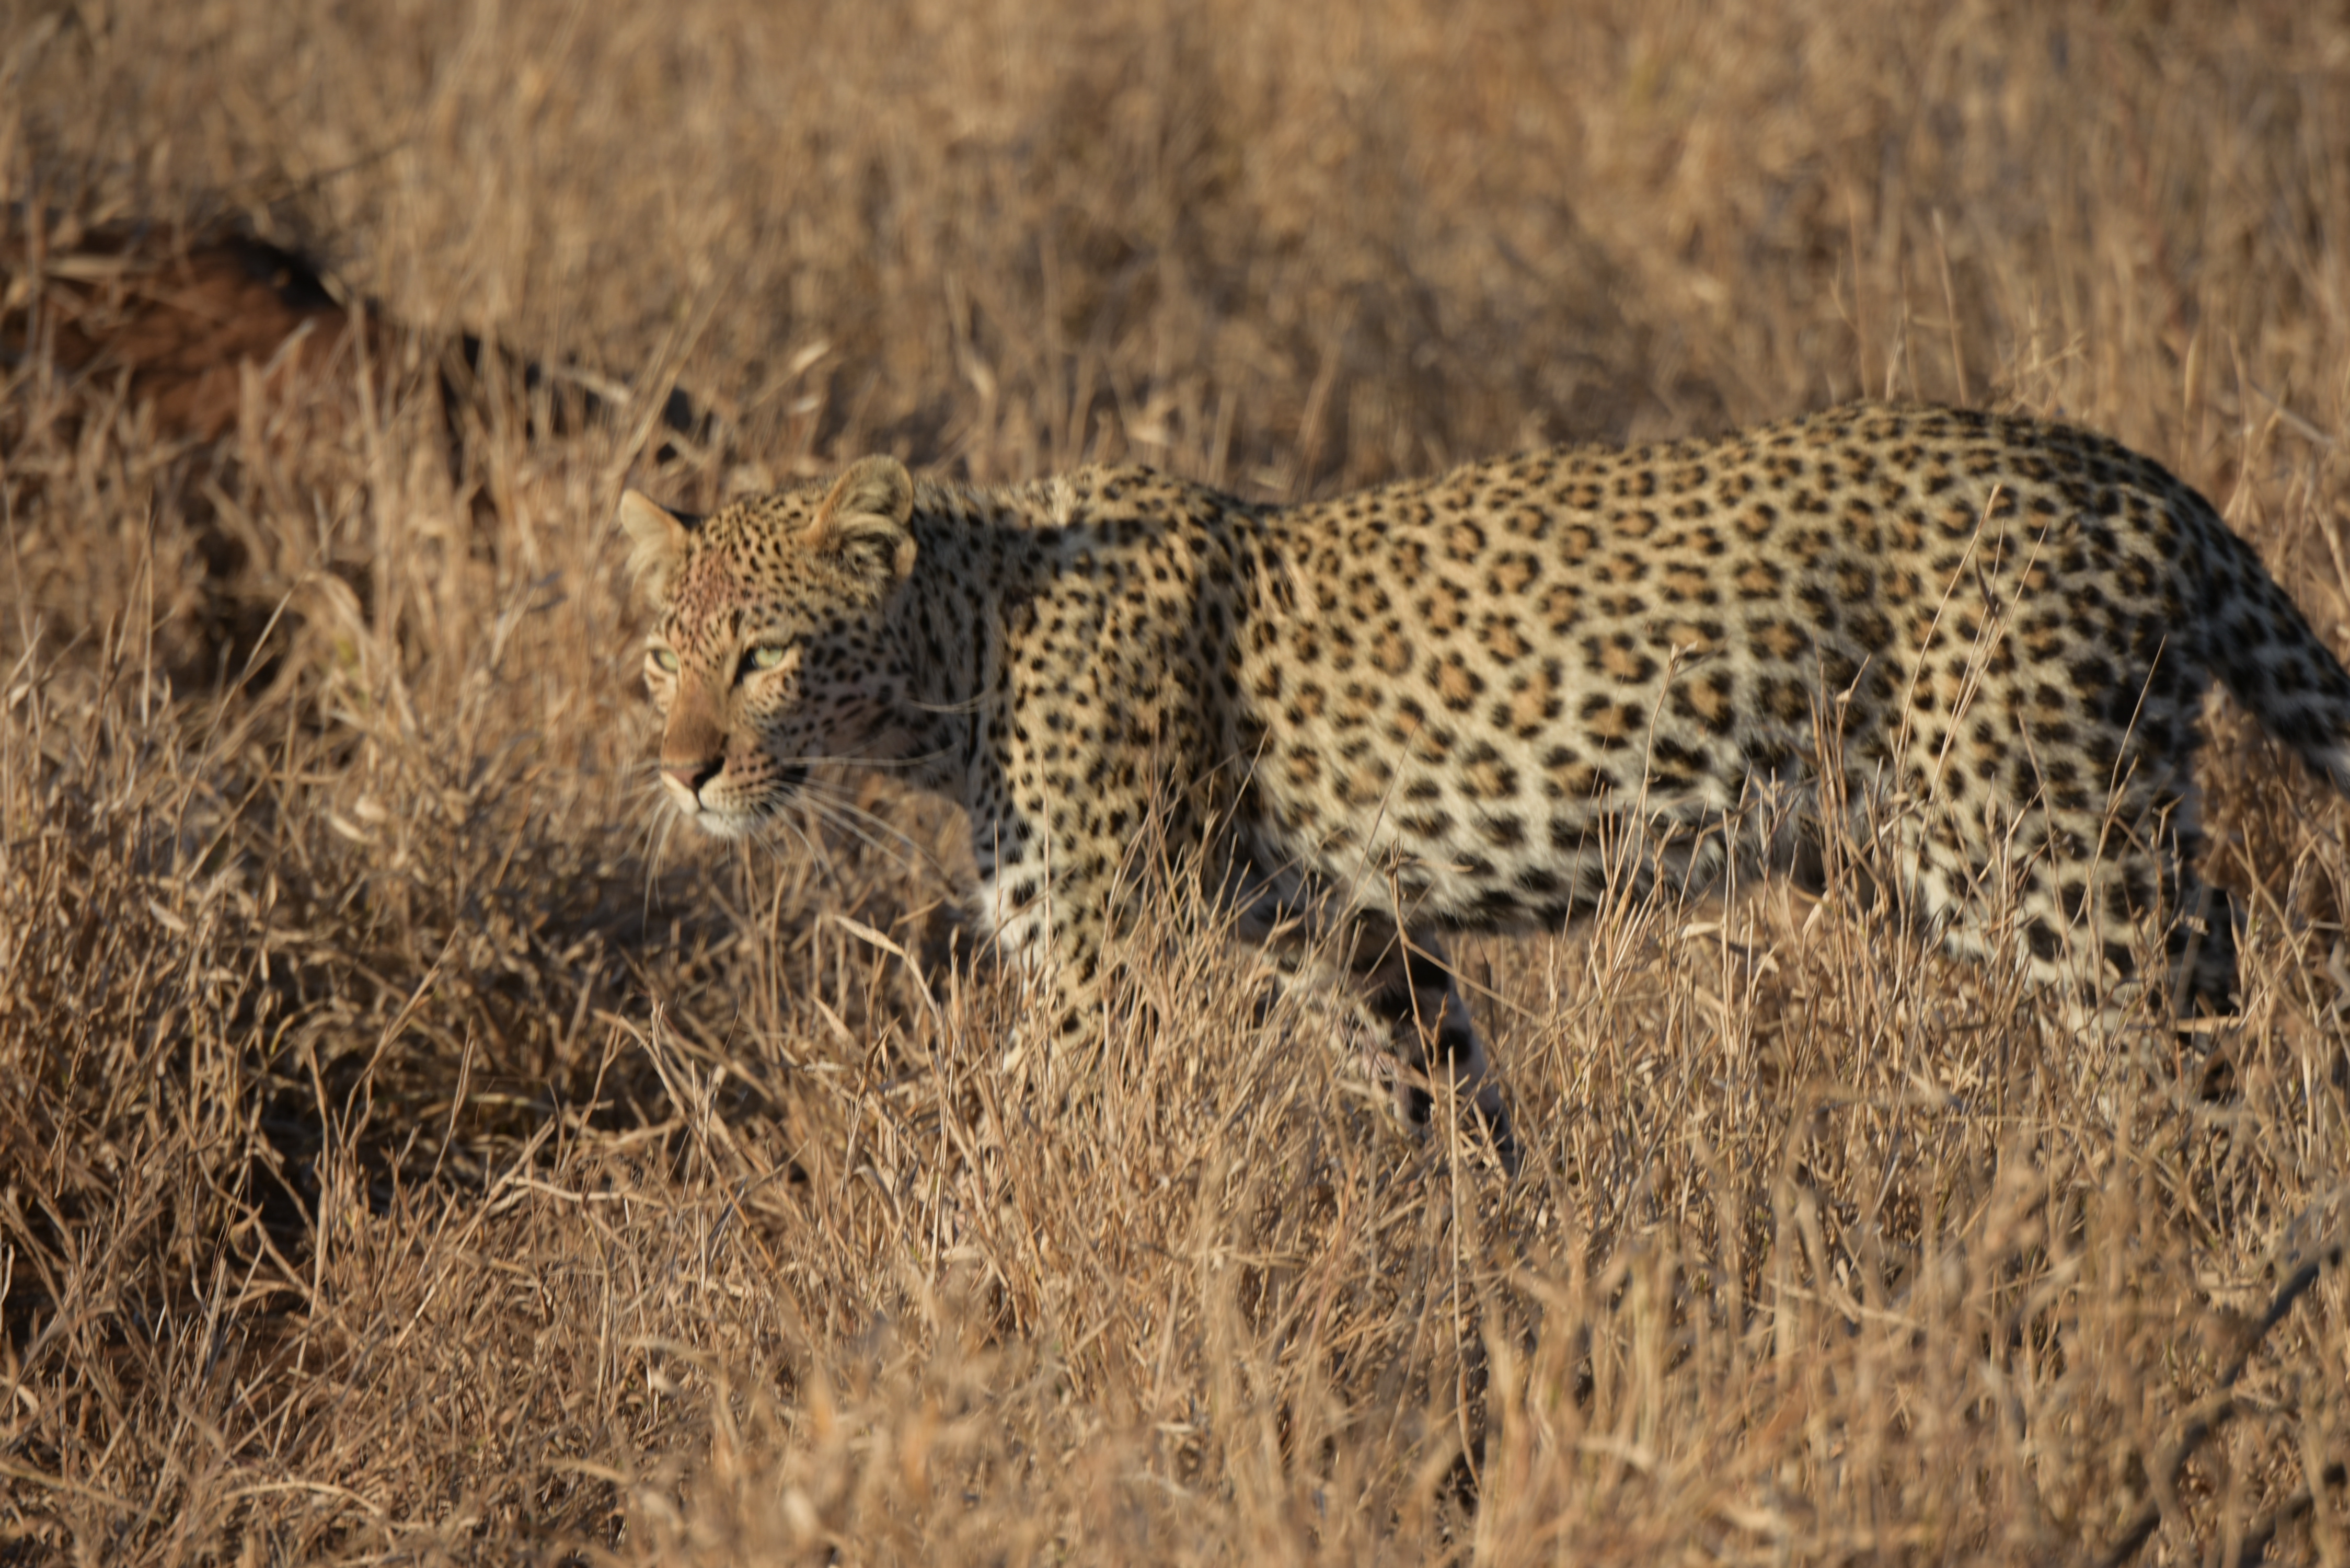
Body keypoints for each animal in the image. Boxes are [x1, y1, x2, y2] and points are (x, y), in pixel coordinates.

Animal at [615, 402, 2350, 1166]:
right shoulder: (1342, 938)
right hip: (1971, 840)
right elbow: (1445, 1091)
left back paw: (2182, 1225)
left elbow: (1028, 1144)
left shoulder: (1103, 971)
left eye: (763, 657)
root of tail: (2127, 471)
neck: (963, 659)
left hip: (2039, 828)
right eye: (656, 661)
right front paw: (1483, 1255)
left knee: (2181, 1008)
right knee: (2202, 961)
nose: (684, 770)